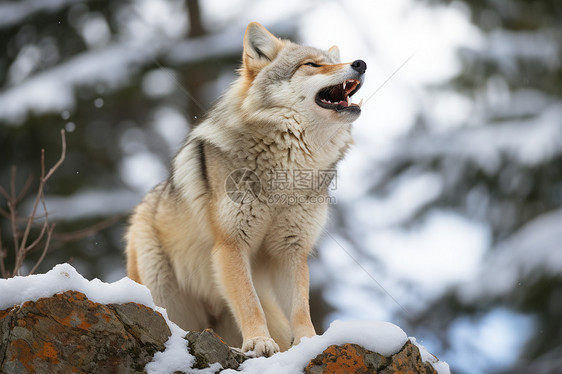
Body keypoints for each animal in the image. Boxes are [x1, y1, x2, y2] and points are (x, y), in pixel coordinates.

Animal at [124, 21, 366, 356]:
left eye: (330, 61)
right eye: (312, 65)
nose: (361, 63)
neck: (287, 172)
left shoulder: (292, 249)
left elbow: (300, 308)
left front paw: (309, 344)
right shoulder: (231, 245)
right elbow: (249, 303)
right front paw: (259, 342)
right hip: (161, 288)